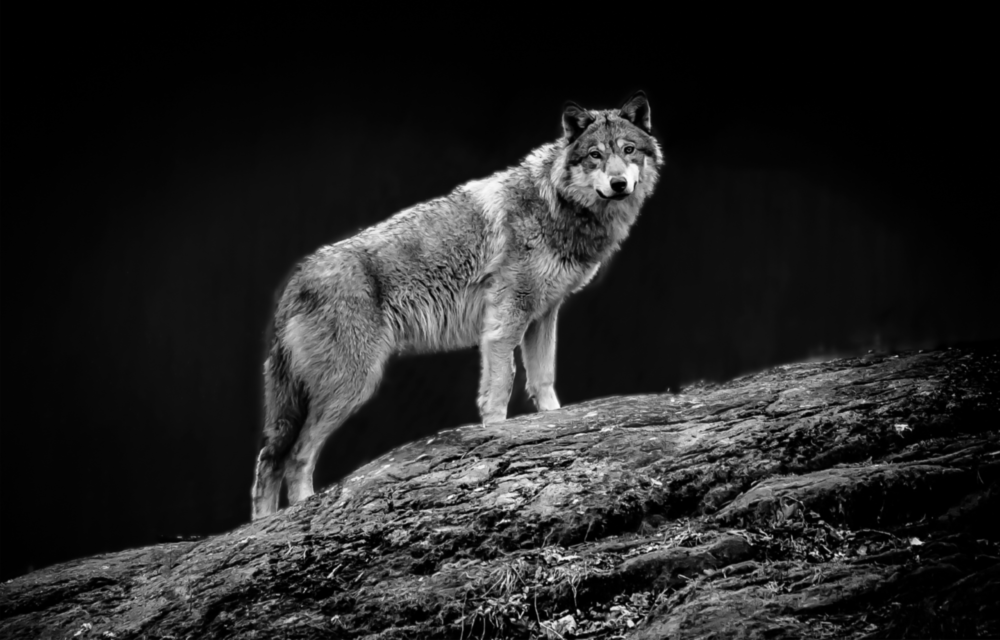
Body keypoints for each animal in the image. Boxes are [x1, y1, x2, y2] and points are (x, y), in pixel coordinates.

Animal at [251, 91, 664, 519]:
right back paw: (298, 512)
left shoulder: (544, 316)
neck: (557, 205)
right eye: (596, 155)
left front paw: (553, 423)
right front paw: (497, 435)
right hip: (352, 386)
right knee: (295, 456)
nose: (619, 183)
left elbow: (543, 380)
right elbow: (500, 387)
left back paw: (263, 525)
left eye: (629, 150)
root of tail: (295, 280)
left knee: (269, 458)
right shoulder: (505, 321)